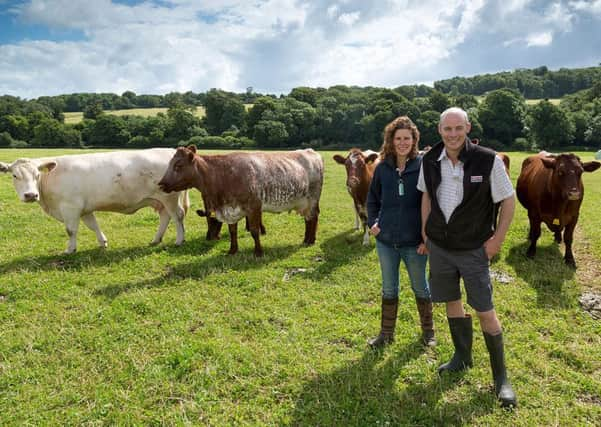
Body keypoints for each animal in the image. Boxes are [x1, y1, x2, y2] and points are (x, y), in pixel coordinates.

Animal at [0, 149, 188, 252]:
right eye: (15, 175)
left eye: (37, 174)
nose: (31, 195)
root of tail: (169, 151)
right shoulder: (84, 209)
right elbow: (93, 225)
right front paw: (103, 242)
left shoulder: (70, 207)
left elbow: (70, 230)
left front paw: (70, 249)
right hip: (161, 200)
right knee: (165, 216)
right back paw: (156, 239)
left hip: (169, 198)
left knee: (177, 216)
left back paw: (179, 240)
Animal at [157, 146, 322, 258]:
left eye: (178, 166)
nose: (161, 184)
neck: (223, 176)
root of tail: (311, 152)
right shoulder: (231, 209)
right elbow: (232, 231)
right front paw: (232, 250)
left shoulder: (254, 207)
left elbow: (254, 231)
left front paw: (258, 252)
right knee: (308, 219)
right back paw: (306, 240)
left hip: (312, 199)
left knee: (313, 217)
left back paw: (310, 240)